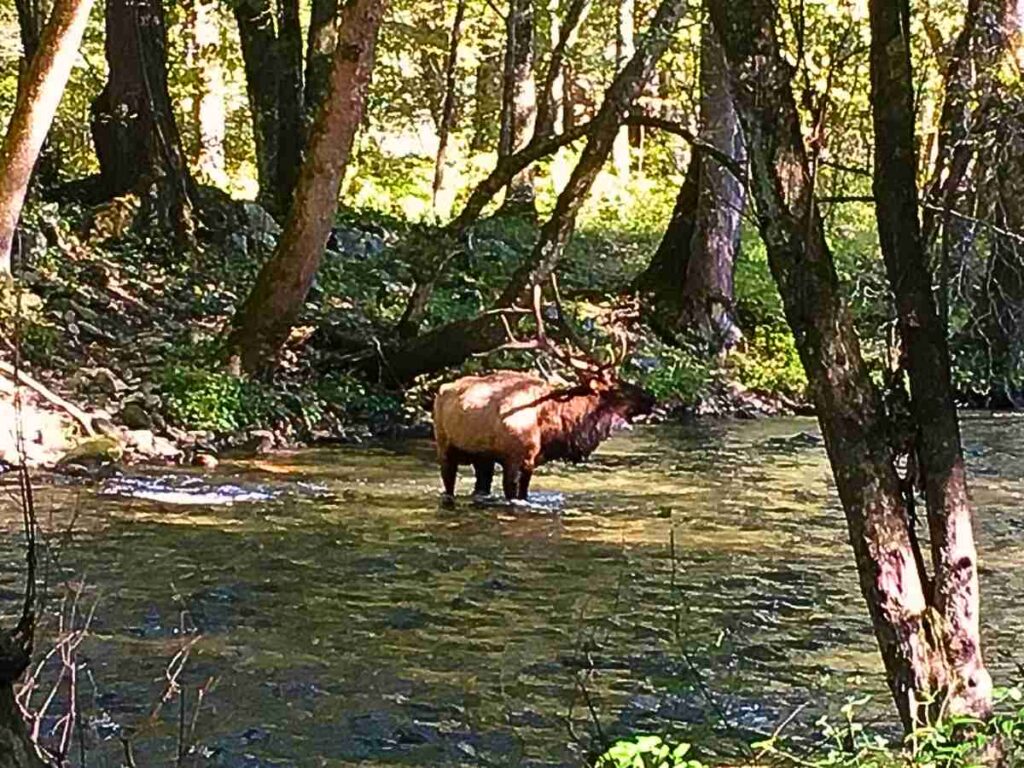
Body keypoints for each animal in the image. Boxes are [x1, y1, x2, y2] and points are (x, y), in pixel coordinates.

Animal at [432, 285, 655, 501]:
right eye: (618, 389)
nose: (650, 398)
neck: (551, 426)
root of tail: (441, 389)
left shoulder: (529, 462)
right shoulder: (513, 458)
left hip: (482, 459)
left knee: (481, 486)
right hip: (444, 446)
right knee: (448, 483)